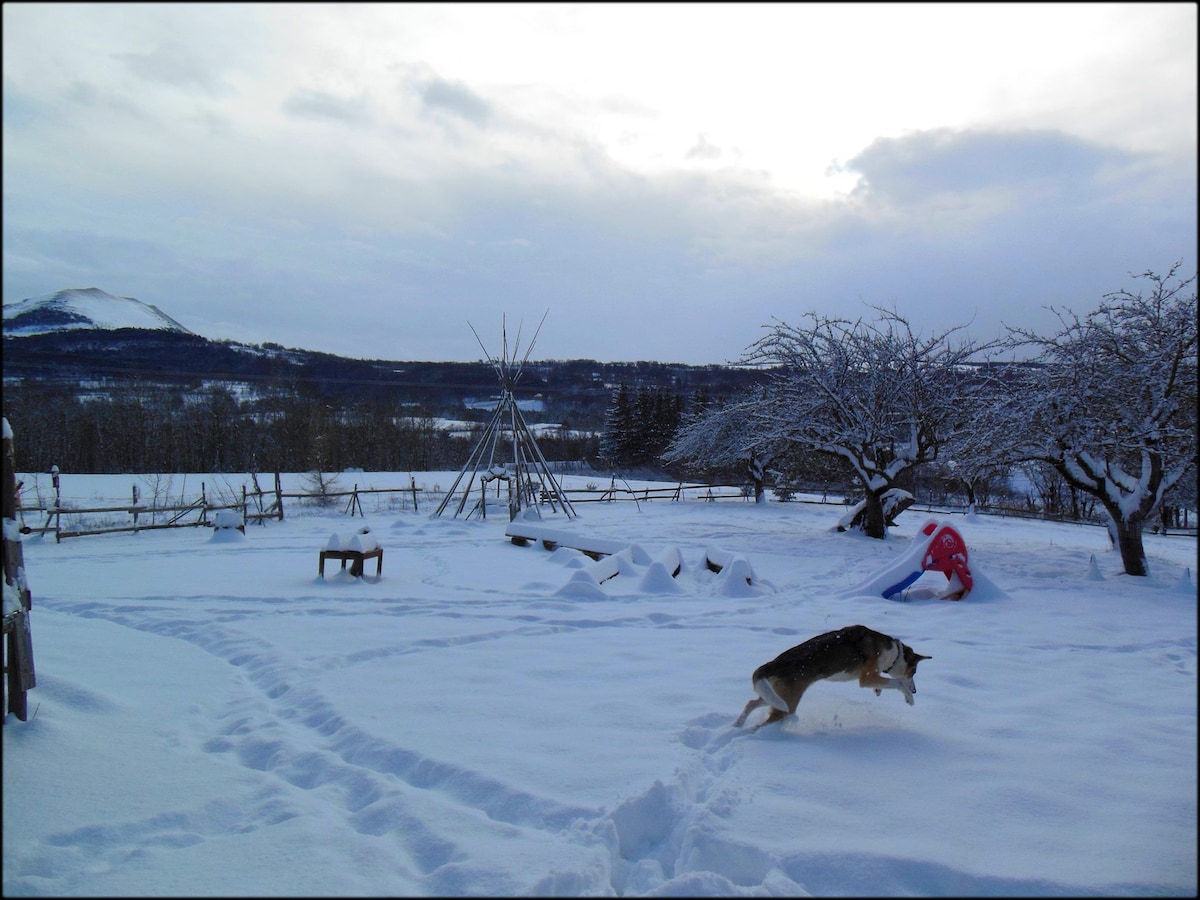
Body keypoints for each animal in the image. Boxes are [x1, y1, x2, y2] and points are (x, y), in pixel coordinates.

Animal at [729, 628, 926, 734]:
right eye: (914, 672)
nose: (915, 691)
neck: (894, 652)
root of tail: (774, 664)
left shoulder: (873, 677)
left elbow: (883, 683)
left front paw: (878, 690)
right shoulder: (867, 677)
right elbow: (898, 683)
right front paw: (909, 698)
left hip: (775, 696)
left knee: (751, 703)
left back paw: (737, 725)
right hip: (786, 704)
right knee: (763, 721)